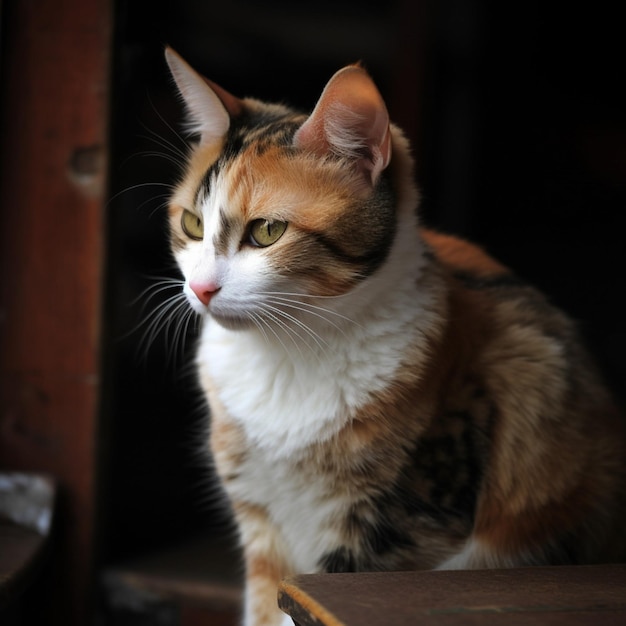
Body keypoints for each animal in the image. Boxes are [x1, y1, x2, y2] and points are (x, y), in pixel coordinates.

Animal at [162, 48, 624, 624]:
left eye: (267, 231)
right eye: (191, 224)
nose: (201, 288)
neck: (286, 356)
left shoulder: (401, 522)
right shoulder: (262, 522)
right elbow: (268, 605)